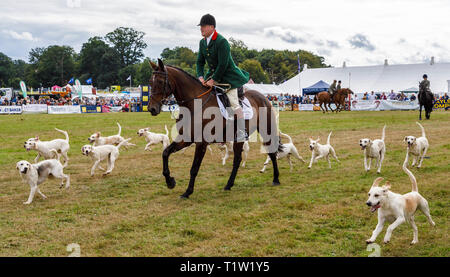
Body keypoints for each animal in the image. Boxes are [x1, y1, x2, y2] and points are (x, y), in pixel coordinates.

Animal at [148, 59, 282, 198]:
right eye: (150, 82)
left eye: (160, 82)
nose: (151, 108)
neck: (195, 104)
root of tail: (263, 96)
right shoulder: (185, 139)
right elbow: (165, 153)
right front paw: (170, 182)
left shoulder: (201, 143)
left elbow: (194, 168)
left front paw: (188, 191)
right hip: (238, 139)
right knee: (237, 160)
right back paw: (229, 185)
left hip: (266, 130)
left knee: (271, 153)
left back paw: (276, 179)